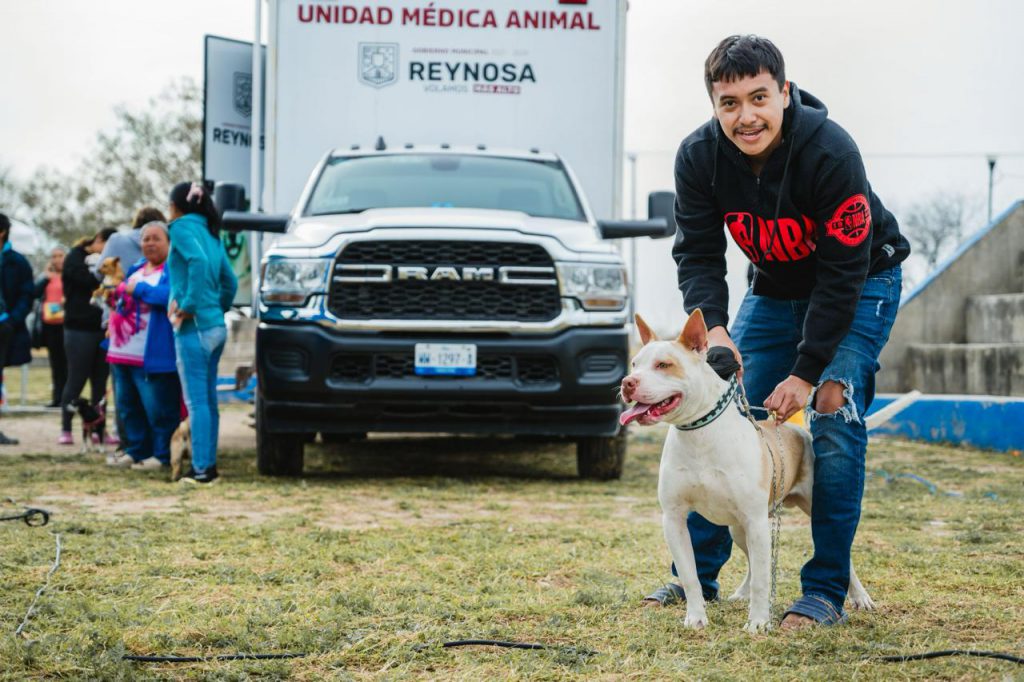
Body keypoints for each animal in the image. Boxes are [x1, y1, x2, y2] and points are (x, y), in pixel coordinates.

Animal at [614, 311, 872, 630]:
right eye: (635, 364)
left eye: (664, 365)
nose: (627, 382)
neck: (698, 434)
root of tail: (794, 430)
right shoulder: (674, 519)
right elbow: (690, 576)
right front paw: (696, 618)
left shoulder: (755, 521)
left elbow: (764, 579)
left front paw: (759, 623)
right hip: (740, 528)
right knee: (751, 560)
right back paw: (741, 592)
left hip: (802, 511)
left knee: (840, 556)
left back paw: (858, 597)